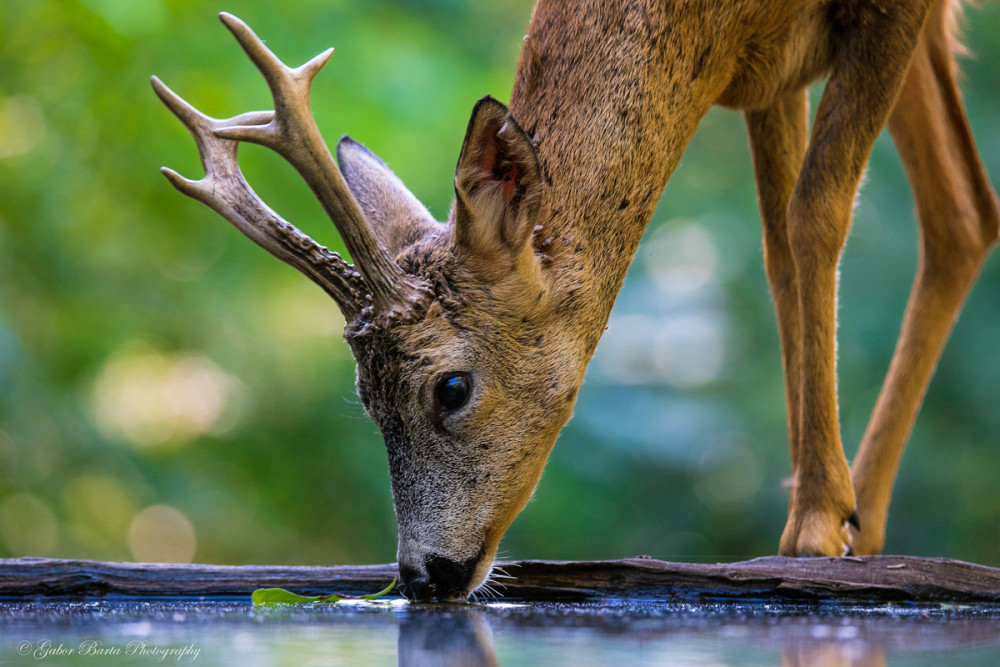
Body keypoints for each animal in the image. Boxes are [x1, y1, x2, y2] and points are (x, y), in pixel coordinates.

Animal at [152, 0, 996, 604]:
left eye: (450, 386)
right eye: (364, 397)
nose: (422, 575)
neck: (713, 25)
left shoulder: (884, 12)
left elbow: (814, 212)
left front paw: (816, 528)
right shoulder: (771, 72)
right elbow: (779, 253)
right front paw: (822, 520)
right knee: (965, 213)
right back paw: (872, 521)